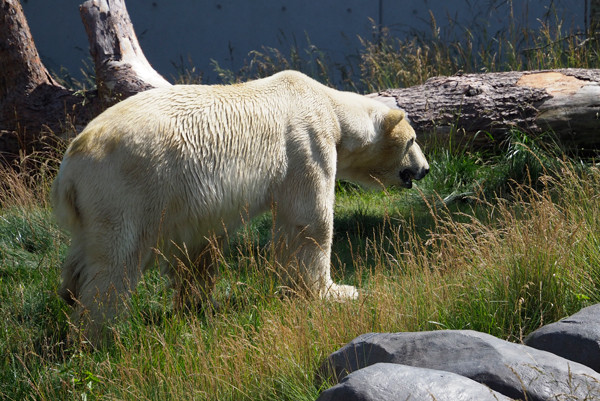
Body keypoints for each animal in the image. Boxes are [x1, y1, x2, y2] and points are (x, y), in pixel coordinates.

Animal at [50, 69, 426, 338]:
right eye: (412, 140)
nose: (424, 169)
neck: (329, 105)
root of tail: (70, 167)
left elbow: (197, 247)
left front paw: (198, 303)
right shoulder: (306, 142)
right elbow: (308, 220)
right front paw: (336, 291)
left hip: (97, 204)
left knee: (81, 258)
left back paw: (69, 298)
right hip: (127, 185)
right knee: (116, 261)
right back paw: (102, 333)